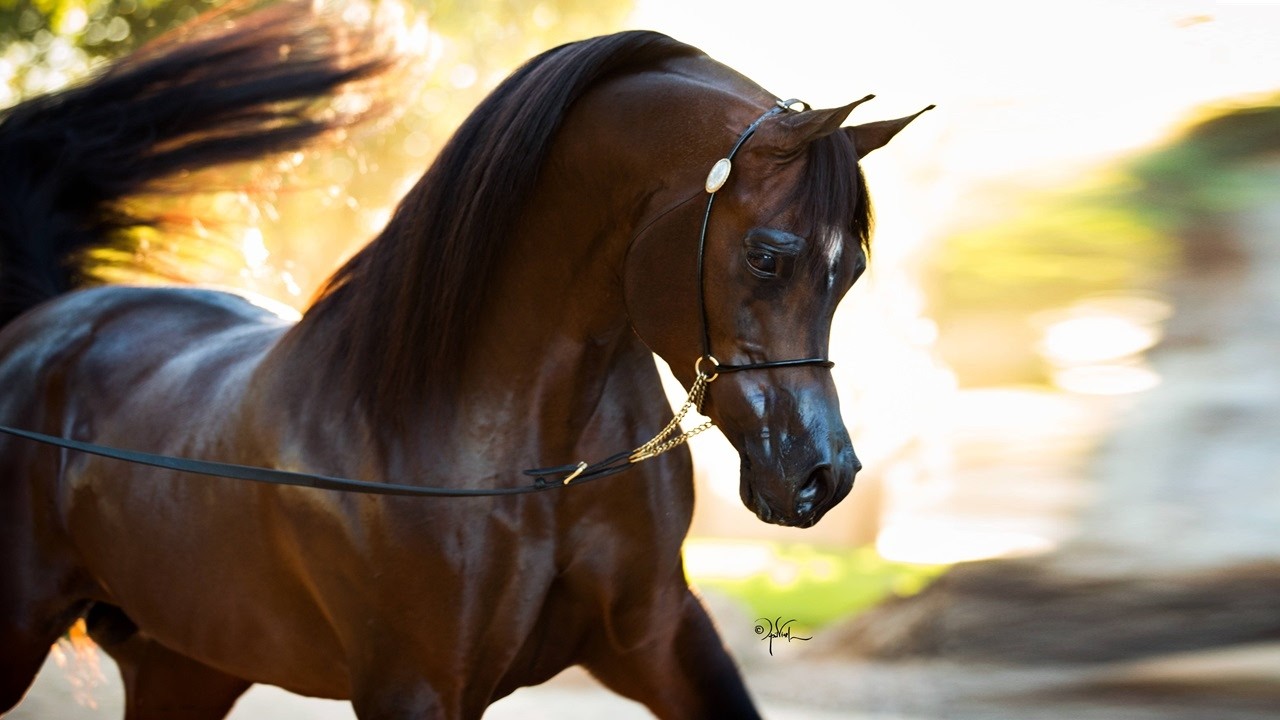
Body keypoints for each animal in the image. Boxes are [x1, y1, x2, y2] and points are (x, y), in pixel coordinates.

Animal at [0, 2, 929, 718]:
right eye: (768, 257)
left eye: (850, 270)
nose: (823, 477)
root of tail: (45, 325)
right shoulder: (412, 686)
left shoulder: (663, 638)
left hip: (184, 662)